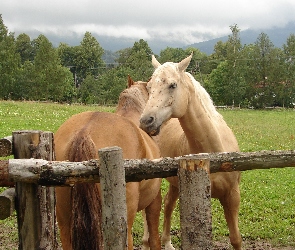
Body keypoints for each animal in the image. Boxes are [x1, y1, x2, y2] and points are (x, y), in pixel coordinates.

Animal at [140, 54, 243, 250]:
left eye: (172, 85)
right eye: (149, 87)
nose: (146, 121)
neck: (214, 153)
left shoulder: (232, 196)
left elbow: (236, 239)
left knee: (168, 204)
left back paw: (167, 242)